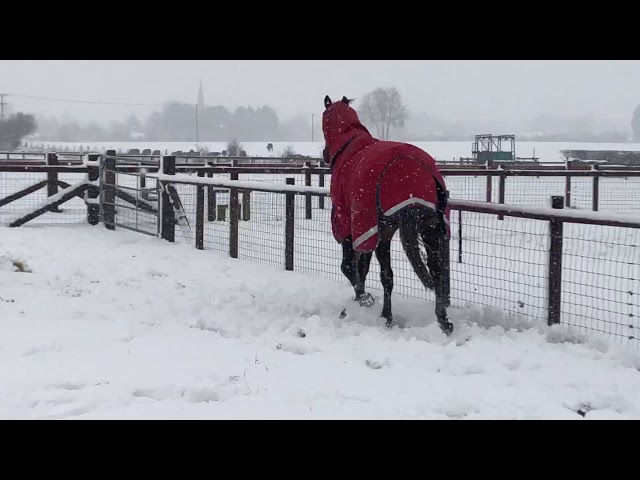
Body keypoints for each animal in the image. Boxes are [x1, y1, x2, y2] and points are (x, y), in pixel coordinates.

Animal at [322, 94, 452, 334]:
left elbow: (351, 266)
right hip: (430, 226)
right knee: (435, 270)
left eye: (325, 119)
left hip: (379, 228)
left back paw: (386, 314)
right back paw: (442, 320)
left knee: (381, 272)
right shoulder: (377, 231)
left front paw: (364, 299)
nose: (326, 154)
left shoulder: (351, 223)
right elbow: (370, 269)